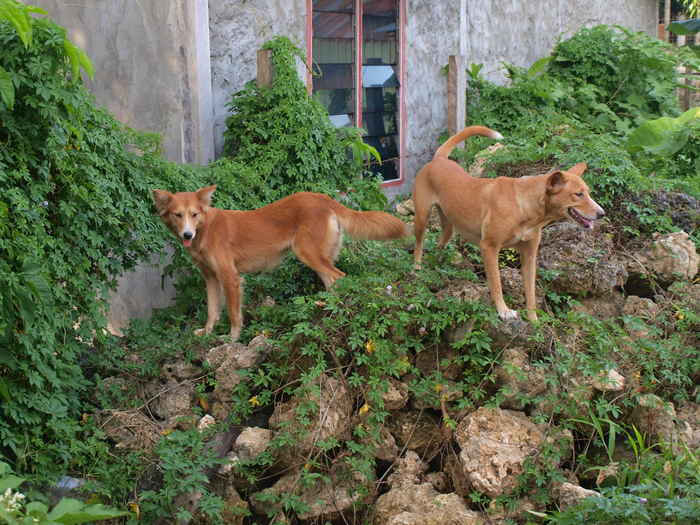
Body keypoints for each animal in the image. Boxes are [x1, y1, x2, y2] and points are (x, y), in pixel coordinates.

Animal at [150, 186, 408, 342]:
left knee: (339, 276)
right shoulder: (211, 278)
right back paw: (325, 310)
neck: (205, 228)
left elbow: (233, 315)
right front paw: (206, 334)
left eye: (194, 215)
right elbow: (212, 311)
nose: (187, 235)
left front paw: (231, 340)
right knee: (331, 282)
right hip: (315, 256)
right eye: (177, 215)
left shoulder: (230, 278)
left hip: (306, 252)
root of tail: (322, 197)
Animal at [412, 125, 604, 322]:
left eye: (588, 192)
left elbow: (531, 294)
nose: (601, 213)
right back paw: (416, 268)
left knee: (438, 243)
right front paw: (503, 311)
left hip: (449, 226)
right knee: (418, 245)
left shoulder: (529, 256)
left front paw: (533, 321)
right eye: (578, 194)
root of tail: (440, 159)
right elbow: (497, 286)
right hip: (421, 218)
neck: (524, 207)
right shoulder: (489, 248)